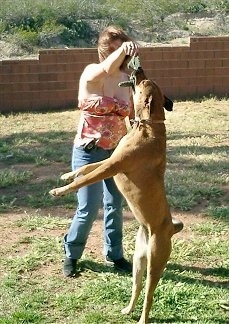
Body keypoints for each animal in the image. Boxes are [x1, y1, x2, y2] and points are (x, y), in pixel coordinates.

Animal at [49, 61, 183, 324]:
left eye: (144, 82)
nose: (138, 68)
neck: (148, 126)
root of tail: (169, 229)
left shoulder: (112, 166)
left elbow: (86, 177)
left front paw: (60, 190)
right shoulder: (111, 162)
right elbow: (85, 168)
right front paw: (67, 176)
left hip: (155, 263)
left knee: (149, 295)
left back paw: (142, 318)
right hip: (139, 262)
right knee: (137, 288)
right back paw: (128, 310)